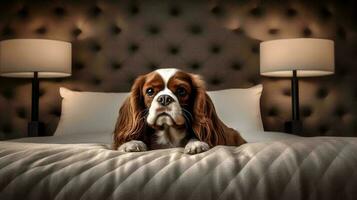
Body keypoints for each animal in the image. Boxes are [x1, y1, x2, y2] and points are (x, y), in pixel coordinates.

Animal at [112, 68, 245, 154]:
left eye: (181, 91)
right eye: (150, 91)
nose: (164, 98)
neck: (168, 136)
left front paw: (196, 144)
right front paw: (132, 143)